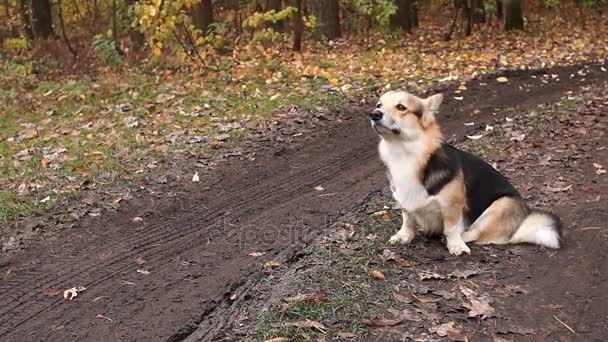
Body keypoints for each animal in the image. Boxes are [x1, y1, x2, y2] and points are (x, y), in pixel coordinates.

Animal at [368, 89, 564, 255]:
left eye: (401, 107)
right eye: (379, 105)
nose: (374, 114)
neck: (404, 152)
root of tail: (521, 223)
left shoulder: (452, 205)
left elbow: (451, 228)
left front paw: (455, 245)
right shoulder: (405, 200)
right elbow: (408, 219)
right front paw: (404, 236)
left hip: (501, 205)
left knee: (475, 232)